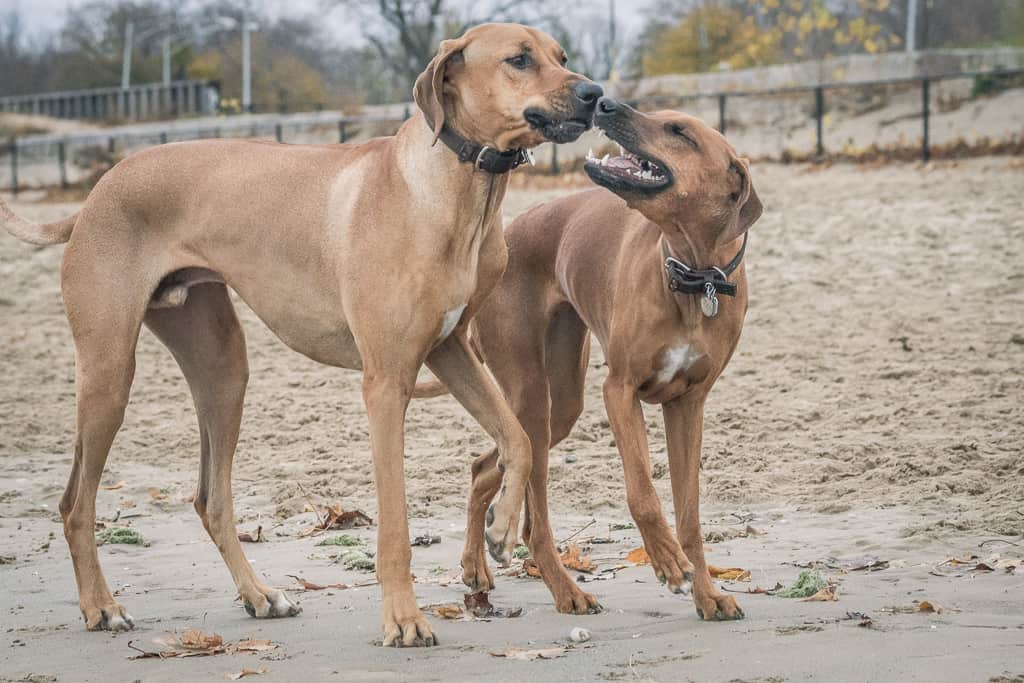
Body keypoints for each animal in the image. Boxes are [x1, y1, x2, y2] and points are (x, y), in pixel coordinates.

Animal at [0, 24, 602, 651]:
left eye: (561, 57)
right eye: (519, 60)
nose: (595, 94)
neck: (458, 192)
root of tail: (96, 192)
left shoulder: (450, 350)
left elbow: (519, 440)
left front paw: (501, 528)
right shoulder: (386, 383)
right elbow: (396, 524)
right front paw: (403, 619)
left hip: (223, 370)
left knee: (211, 498)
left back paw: (260, 595)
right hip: (109, 372)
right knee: (75, 501)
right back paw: (101, 606)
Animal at [440, 97, 761, 626]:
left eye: (679, 131)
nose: (607, 103)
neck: (694, 277)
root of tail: (506, 234)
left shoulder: (688, 406)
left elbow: (690, 516)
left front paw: (707, 593)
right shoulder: (621, 392)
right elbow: (643, 493)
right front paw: (667, 561)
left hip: (563, 403)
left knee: (486, 465)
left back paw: (477, 566)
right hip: (532, 397)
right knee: (535, 521)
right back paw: (565, 590)